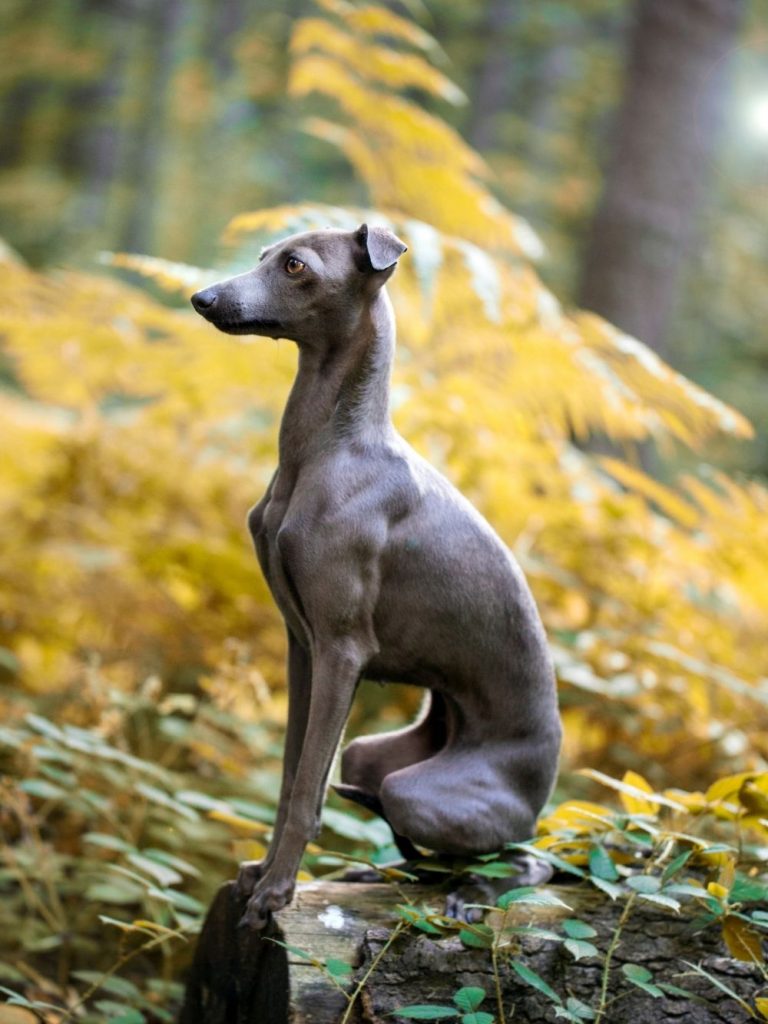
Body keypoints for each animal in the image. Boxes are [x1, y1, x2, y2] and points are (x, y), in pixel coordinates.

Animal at [189, 224, 561, 929]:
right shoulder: (302, 647)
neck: (325, 452)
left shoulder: (342, 650)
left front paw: (275, 894)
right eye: (263, 255)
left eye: (295, 265)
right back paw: (381, 872)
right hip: (371, 754)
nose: (203, 297)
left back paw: (469, 893)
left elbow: (307, 790)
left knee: (530, 861)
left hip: (421, 792)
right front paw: (261, 874)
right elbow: (292, 773)